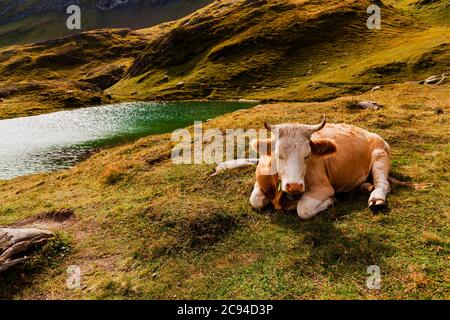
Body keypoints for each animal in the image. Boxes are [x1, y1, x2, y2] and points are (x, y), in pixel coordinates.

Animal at [248, 117, 392, 220]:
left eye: (308, 155)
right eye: (278, 155)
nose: (294, 186)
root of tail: (366, 131)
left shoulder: (323, 187)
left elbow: (303, 209)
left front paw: (330, 200)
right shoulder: (259, 183)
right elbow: (255, 200)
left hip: (380, 155)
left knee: (383, 183)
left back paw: (376, 198)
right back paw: (365, 187)